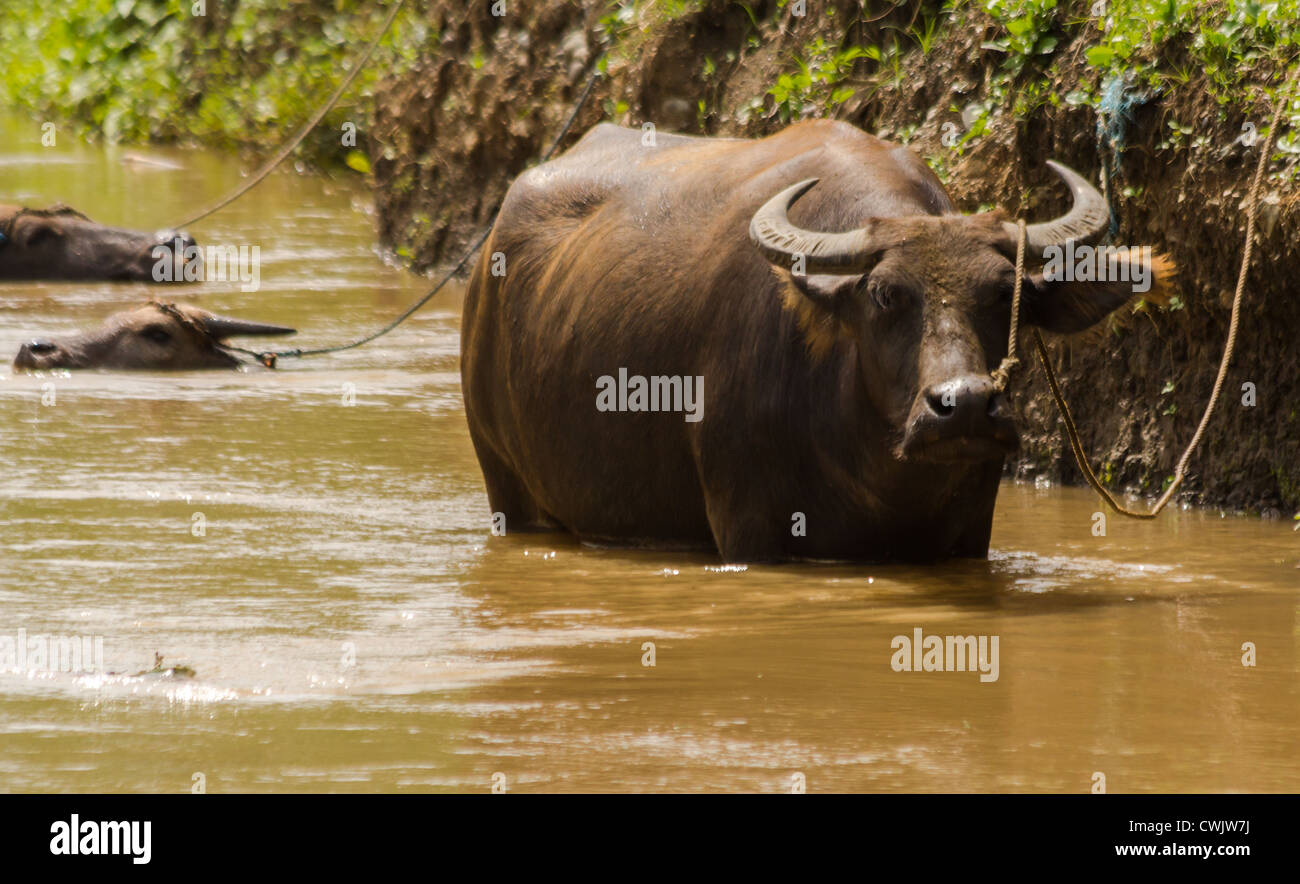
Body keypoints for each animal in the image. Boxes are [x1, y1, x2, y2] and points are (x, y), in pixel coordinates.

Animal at [461, 120, 1174, 562]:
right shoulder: (748, 530)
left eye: (1005, 293)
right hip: (504, 484)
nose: (967, 404)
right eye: (885, 295)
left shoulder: (973, 530)